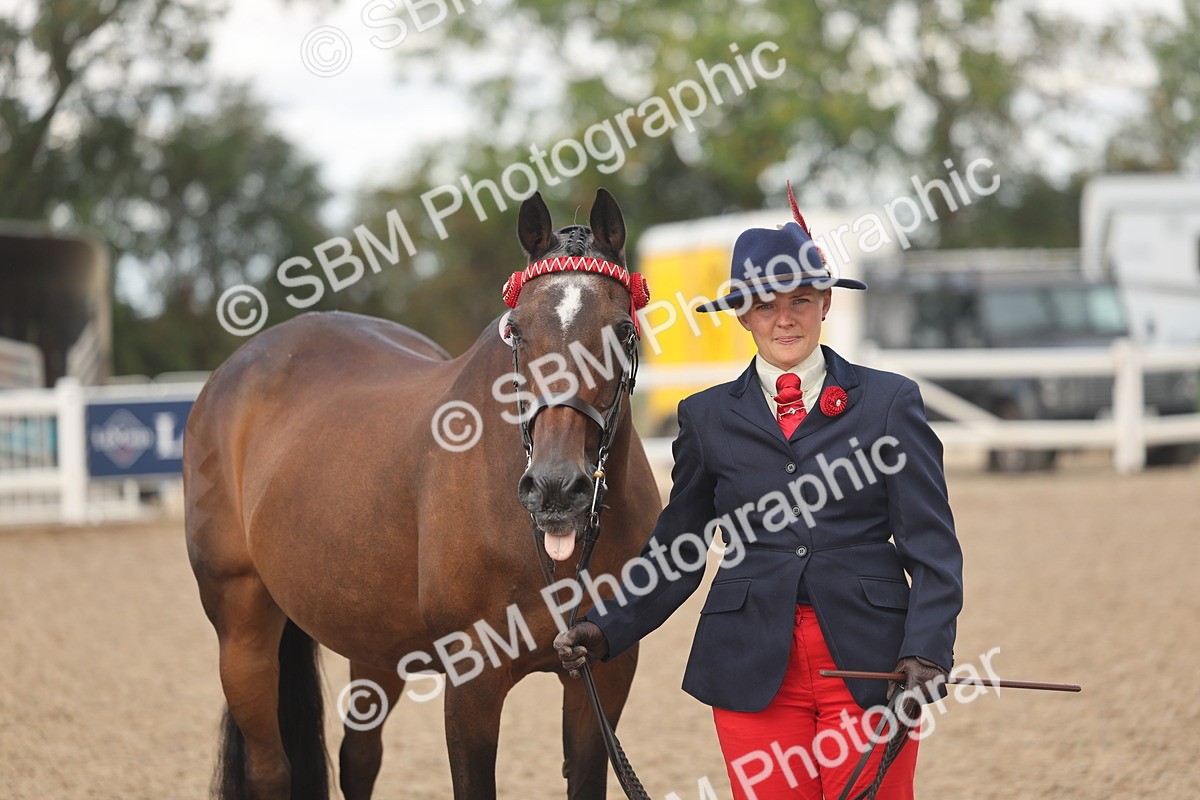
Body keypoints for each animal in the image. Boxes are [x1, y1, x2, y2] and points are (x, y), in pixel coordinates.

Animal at [183, 188, 663, 799]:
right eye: (516, 330)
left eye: (623, 331)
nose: (556, 487)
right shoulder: (472, 685)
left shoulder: (602, 673)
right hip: (241, 627)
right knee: (272, 771)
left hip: (372, 640)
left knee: (359, 758)